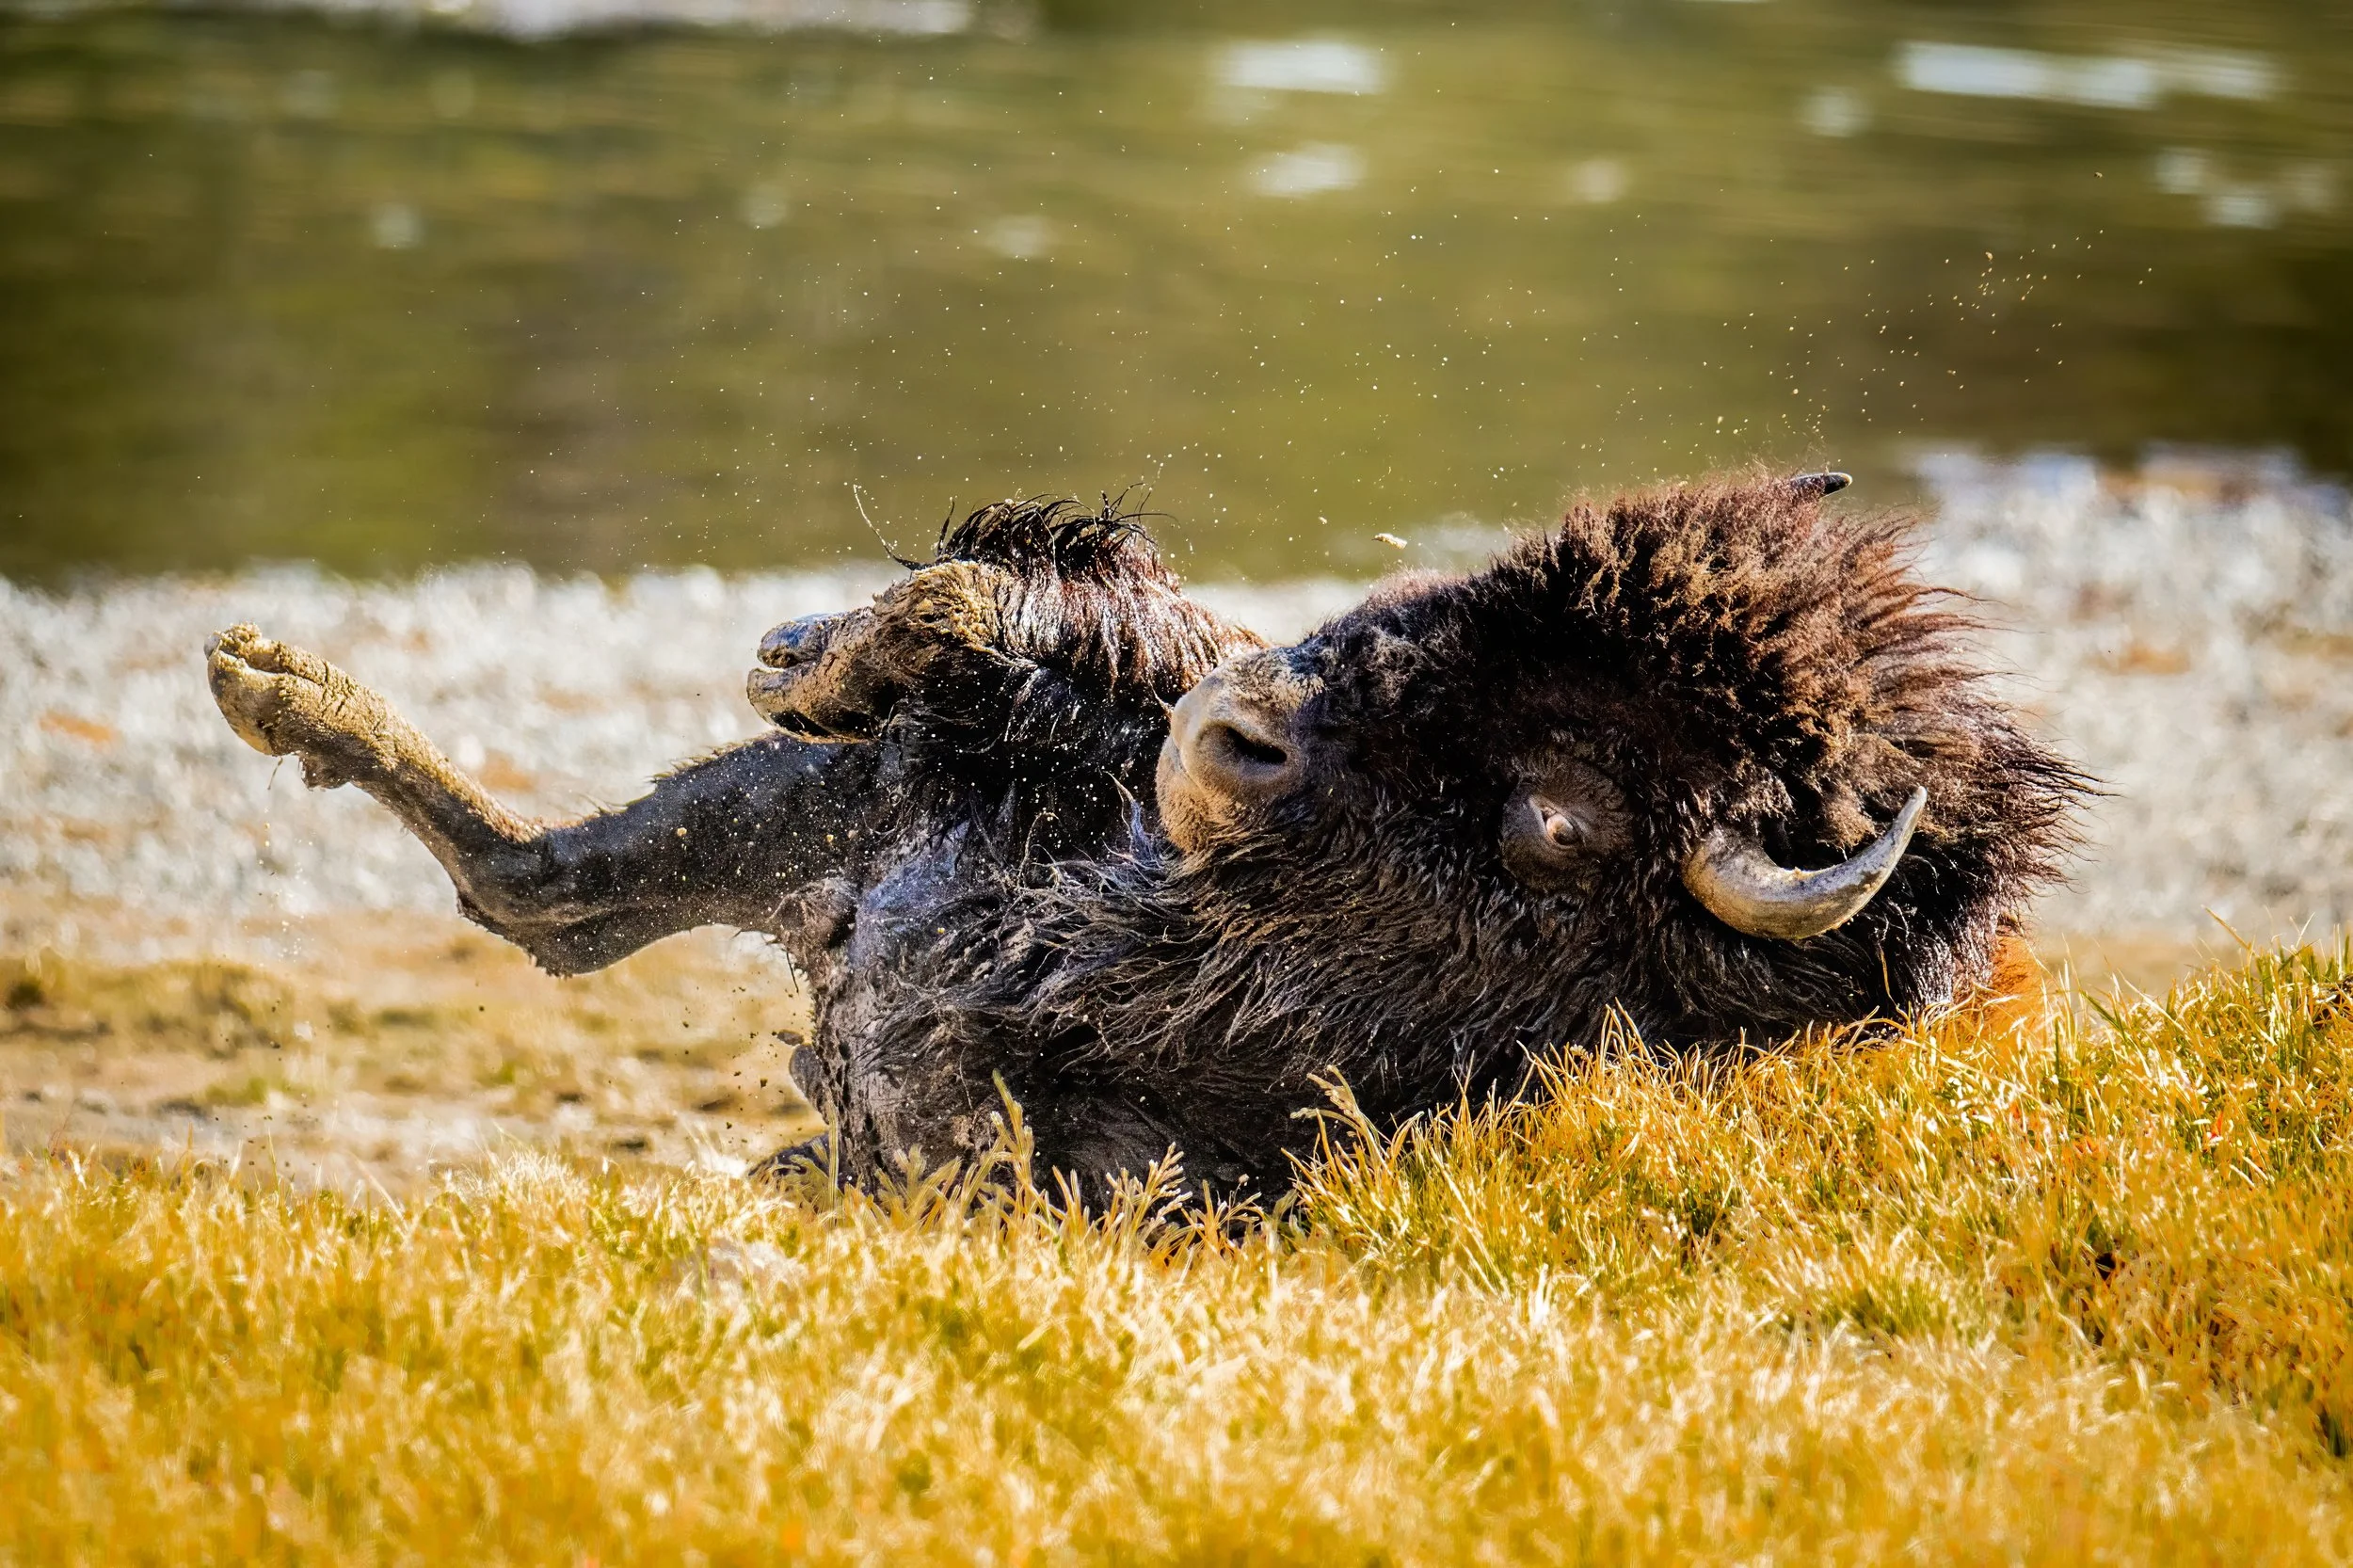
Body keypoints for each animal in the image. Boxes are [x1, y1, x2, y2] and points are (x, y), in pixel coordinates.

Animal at [205, 475, 2083, 1197]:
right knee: (551, 884)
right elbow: (1066, 610)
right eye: (1468, 595)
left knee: (544, 900)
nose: (1233, 738)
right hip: (824, 824)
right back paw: (269, 676)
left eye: (1561, 815)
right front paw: (823, 646)